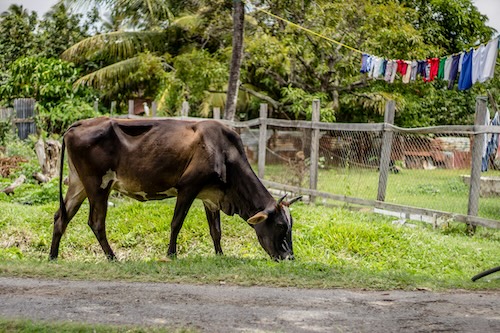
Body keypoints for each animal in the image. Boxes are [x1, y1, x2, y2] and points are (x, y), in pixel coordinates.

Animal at [48, 116, 300, 260]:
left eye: (290, 225)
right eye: (280, 225)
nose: (289, 257)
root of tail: (79, 124)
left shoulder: (211, 197)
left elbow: (216, 230)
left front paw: (220, 255)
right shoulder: (188, 187)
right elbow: (176, 223)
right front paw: (171, 254)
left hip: (78, 185)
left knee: (61, 216)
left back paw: (53, 256)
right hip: (98, 185)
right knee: (96, 222)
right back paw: (112, 257)